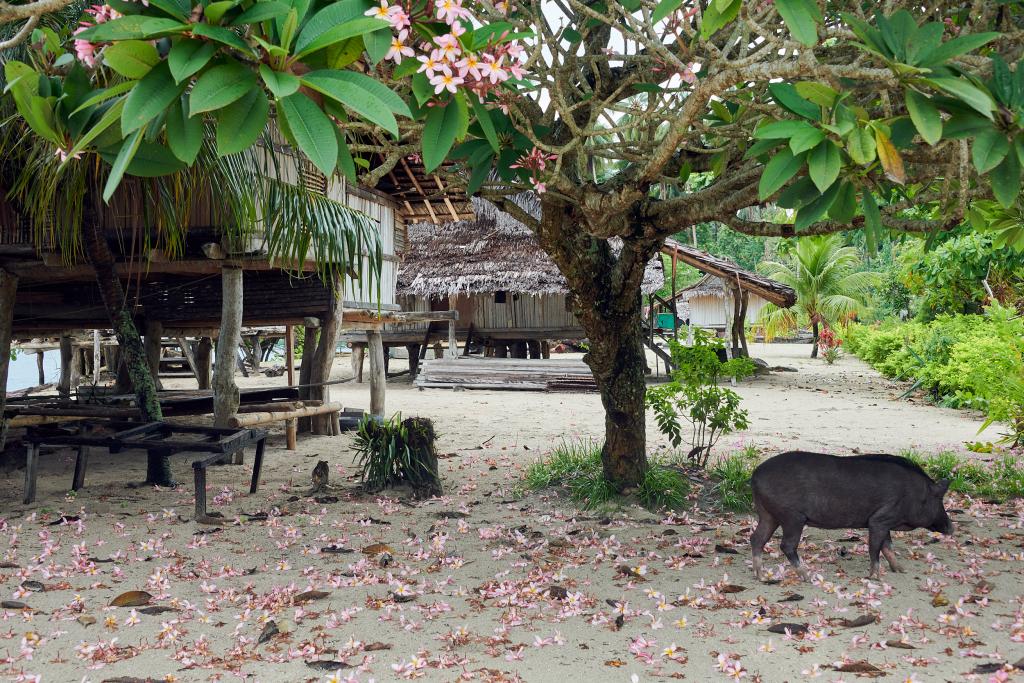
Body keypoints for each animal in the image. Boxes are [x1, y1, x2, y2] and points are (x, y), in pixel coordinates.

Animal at [749, 450, 954, 581]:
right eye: (939, 499)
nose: (951, 528)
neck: (914, 494)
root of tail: (755, 474)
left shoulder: (885, 522)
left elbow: (888, 547)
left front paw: (900, 570)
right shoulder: (879, 519)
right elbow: (875, 548)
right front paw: (875, 577)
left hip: (768, 514)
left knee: (756, 538)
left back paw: (761, 576)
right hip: (792, 517)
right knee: (786, 545)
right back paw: (807, 577)